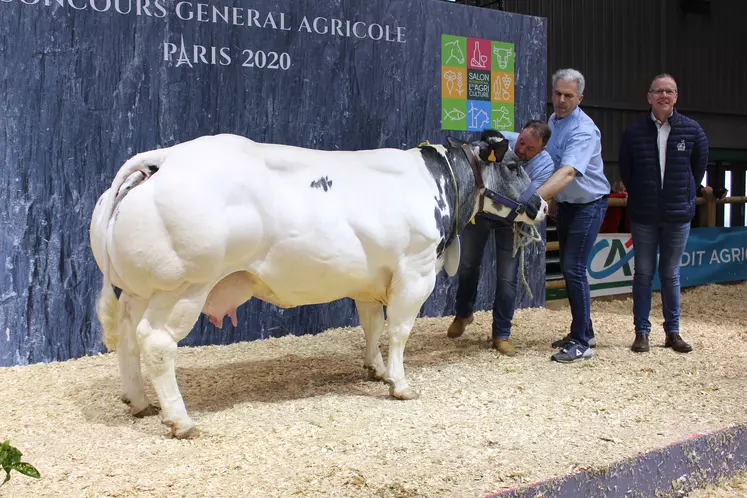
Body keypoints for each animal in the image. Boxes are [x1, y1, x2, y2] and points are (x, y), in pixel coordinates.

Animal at [90, 130, 548, 438]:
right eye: (513, 165)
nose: (541, 206)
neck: (438, 183)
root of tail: (166, 157)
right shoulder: (415, 271)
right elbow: (399, 331)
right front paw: (399, 384)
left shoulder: (367, 280)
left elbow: (372, 326)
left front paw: (375, 369)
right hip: (184, 286)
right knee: (156, 343)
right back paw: (181, 421)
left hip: (140, 289)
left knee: (128, 340)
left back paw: (140, 403)